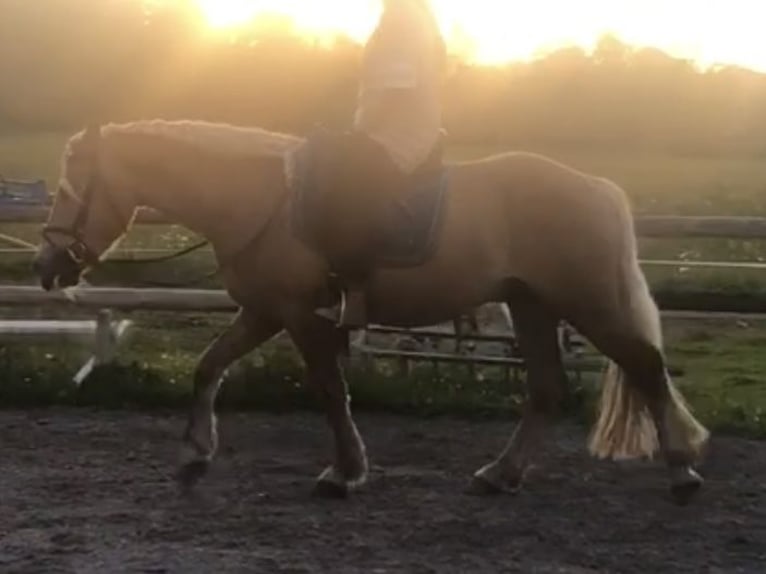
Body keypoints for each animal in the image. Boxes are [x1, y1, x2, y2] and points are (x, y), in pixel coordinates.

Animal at [32, 119, 710, 504]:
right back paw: (500, 475)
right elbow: (207, 368)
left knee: (647, 371)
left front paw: (344, 473)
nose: (47, 267)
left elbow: (331, 393)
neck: (261, 201)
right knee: (545, 390)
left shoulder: (301, 317)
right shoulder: (266, 311)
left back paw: (681, 474)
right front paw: (195, 454)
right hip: (531, 304)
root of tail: (596, 187)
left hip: (588, 301)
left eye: (71, 187)